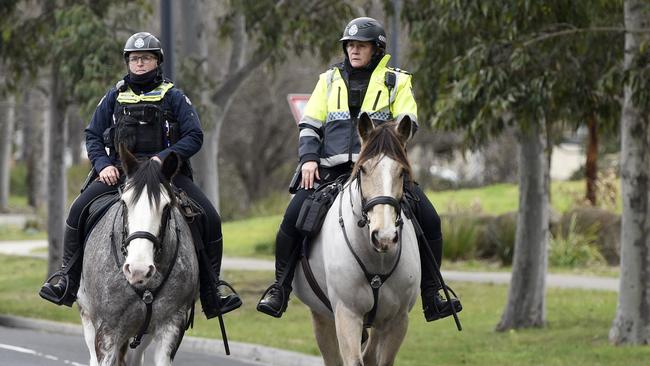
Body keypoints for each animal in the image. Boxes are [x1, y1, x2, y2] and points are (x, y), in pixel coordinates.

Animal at [76, 147, 199, 364]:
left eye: (166, 207)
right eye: (124, 202)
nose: (138, 270)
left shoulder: (171, 327)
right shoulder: (107, 331)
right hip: (88, 316)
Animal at [294, 114, 420, 366]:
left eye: (402, 172)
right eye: (362, 169)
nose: (384, 236)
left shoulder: (397, 320)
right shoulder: (347, 315)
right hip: (321, 316)